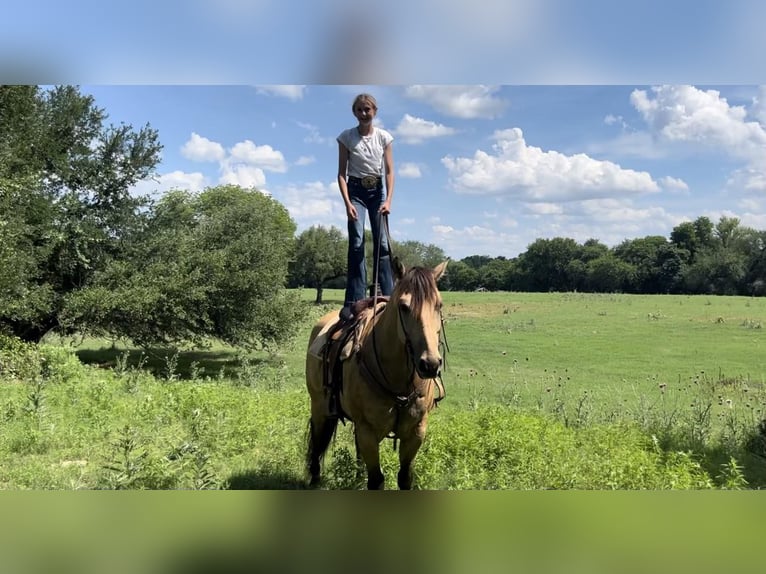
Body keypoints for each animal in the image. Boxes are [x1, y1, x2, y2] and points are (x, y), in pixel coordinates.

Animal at [306, 260, 450, 490]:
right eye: (404, 307)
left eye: (439, 305)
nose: (430, 364)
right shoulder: (368, 432)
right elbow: (376, 480)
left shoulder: (416, 432)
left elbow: (405, 478)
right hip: (319, 407)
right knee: (318, 441)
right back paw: (315, 478)